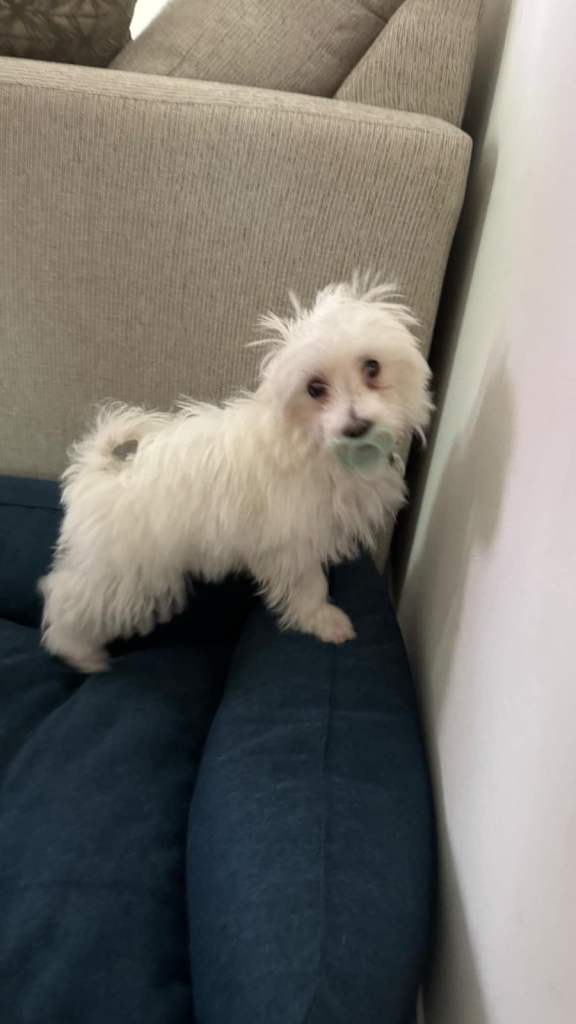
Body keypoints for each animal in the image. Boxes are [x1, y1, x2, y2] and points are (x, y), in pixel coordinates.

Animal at [40, 279, 432, 672]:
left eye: (372, 368)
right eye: (315, 388)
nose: (356, 427)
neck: (311, 443)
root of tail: (98, 471)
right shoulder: (291, 543)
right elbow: (308, 585)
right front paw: (323, 620)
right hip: (121, 573)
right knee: (66, 599)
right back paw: (80, 654)